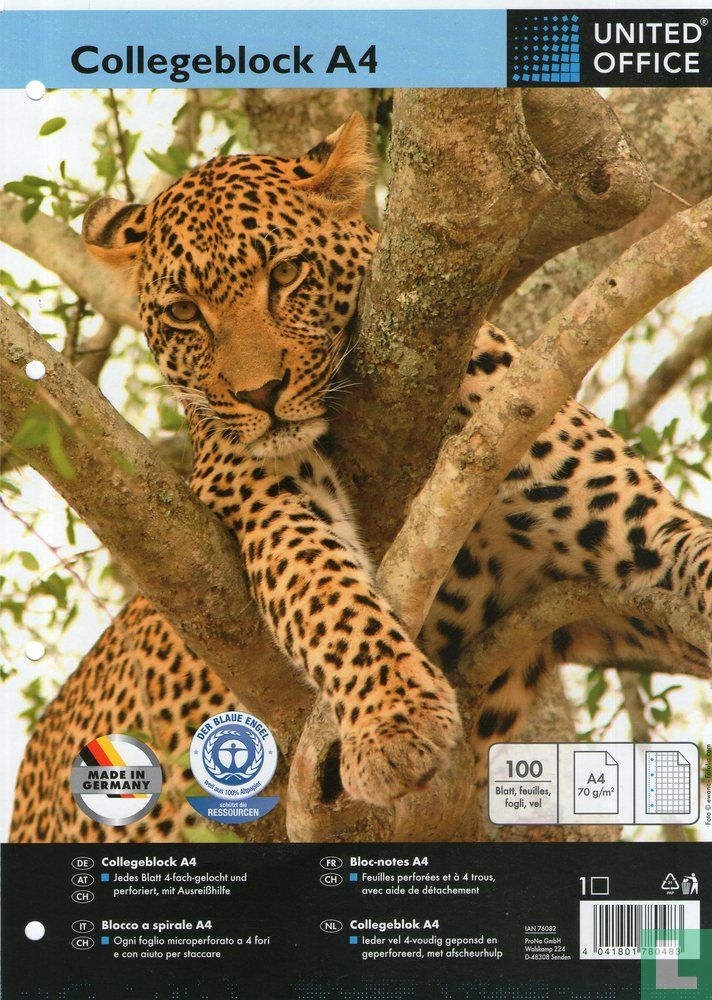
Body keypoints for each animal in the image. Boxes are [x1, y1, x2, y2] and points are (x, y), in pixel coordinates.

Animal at [10, 112, 711, 843]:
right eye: (183, 313)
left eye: (287, 272)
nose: (259, 393)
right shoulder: (264, 494)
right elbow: (328, 596)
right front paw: (395, 720)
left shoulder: (634, 553)